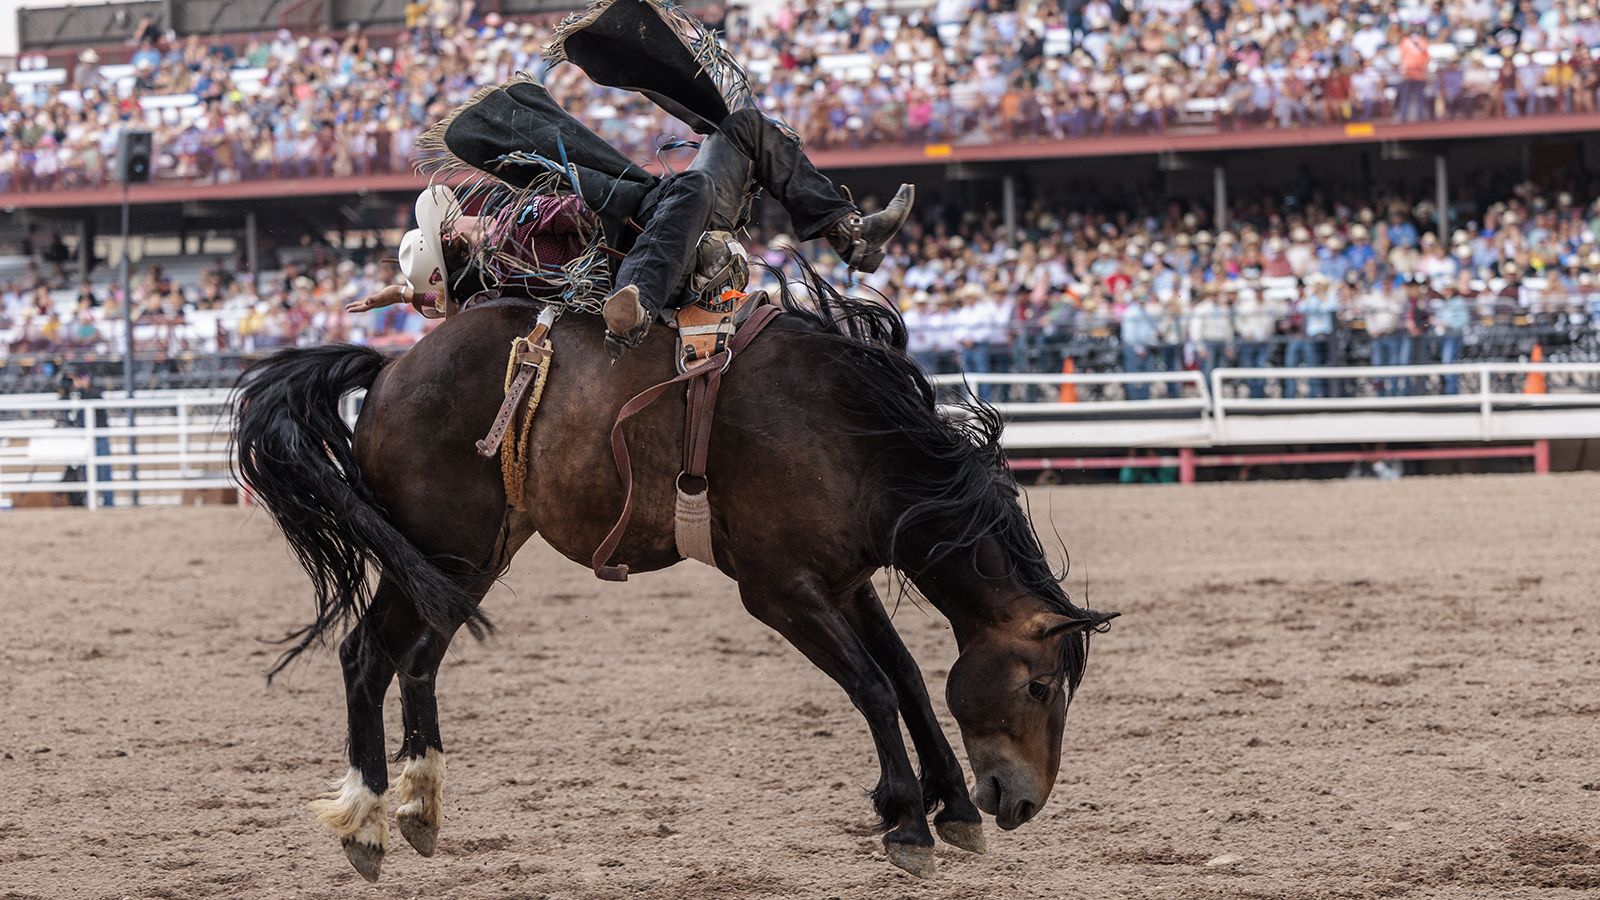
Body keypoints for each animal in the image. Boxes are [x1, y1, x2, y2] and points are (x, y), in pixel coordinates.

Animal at [233, 273, 1113, 877]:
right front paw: (905, 820)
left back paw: (420, 802)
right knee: (365, 657)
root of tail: (389, 370)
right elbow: (869, 685)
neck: (847, 436)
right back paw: (367, 819)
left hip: (470, 560)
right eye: (1040, 686)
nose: (1023, 803)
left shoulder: (847, 582)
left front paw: (954, 806)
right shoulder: (779, 591)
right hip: (440, 551)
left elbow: (905, 677)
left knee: (414, 662)